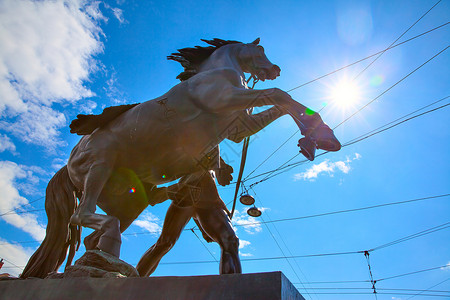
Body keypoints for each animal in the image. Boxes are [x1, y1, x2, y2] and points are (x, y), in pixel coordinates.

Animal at [19, 38, 340, 278]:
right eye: (260, 51)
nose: (275, 68)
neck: (214, 74)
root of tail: (68, 164)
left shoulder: (239, 127)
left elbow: (280, 104)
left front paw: (318, 139)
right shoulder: (226, 100)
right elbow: (278, 94)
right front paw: (320, 136)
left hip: (129, 201)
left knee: (90, 236)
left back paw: (101, 261)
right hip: (101, 166)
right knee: (82, 215)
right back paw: (111, 252)